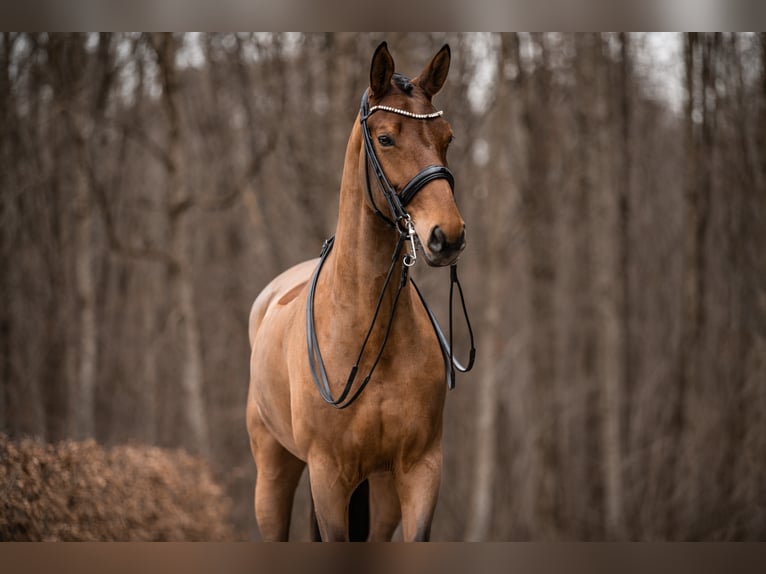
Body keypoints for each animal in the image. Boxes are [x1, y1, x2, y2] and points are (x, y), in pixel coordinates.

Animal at [249, 42, 472, 544]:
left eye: (447, 137)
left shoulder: (420, 470)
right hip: (274, 472)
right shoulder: (328, 477)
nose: (446, 237)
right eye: (386, 139)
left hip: (382, 488)